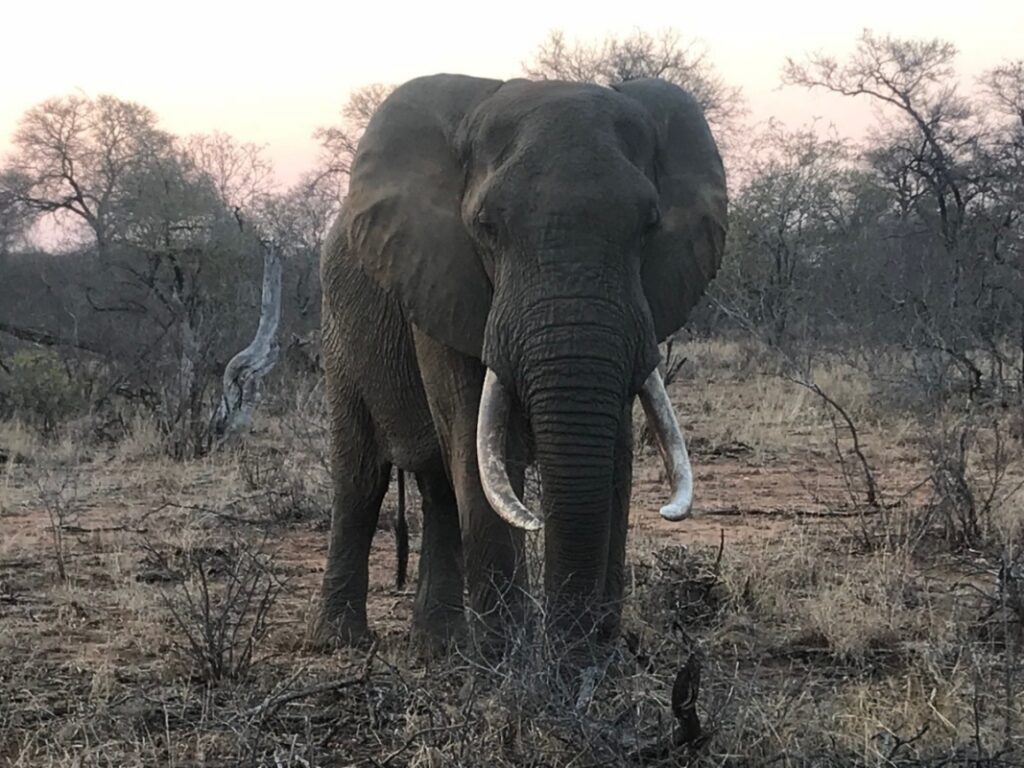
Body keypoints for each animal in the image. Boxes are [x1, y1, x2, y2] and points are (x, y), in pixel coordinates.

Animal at [315, 73, 724, 651]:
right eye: (486, 226)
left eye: (649, 225)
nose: (569, 646)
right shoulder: (441, 280)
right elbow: (477, 440)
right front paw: (508, 661)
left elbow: (614, 453)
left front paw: (595, 654)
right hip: (339, 332)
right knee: (361, 477)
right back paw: (342, 642)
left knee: (439, 489)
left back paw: (439, 646)